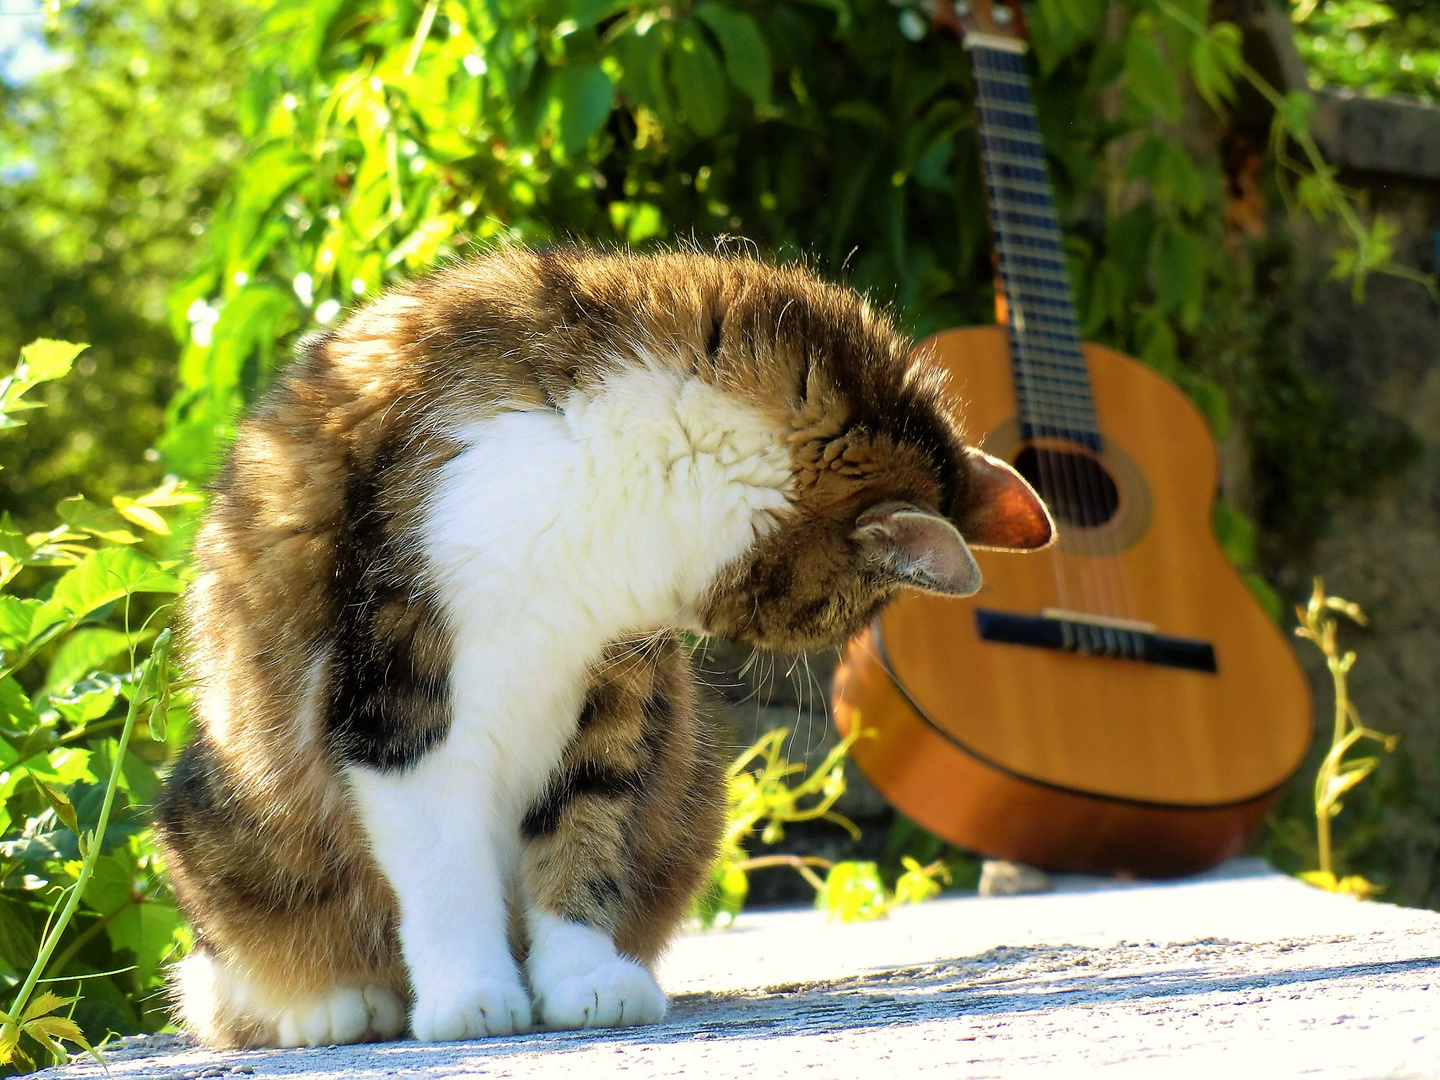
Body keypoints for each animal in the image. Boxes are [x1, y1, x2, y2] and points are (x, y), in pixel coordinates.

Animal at [151, 247, 1054, 1048]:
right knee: (228, 975)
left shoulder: (615, 684)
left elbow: (585, 829)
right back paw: (336, 1006)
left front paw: (580, 977)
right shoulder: (399, 691)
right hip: (221, 809)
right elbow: (442, 863)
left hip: (691, 778)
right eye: (832, 614)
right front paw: (472, 994)